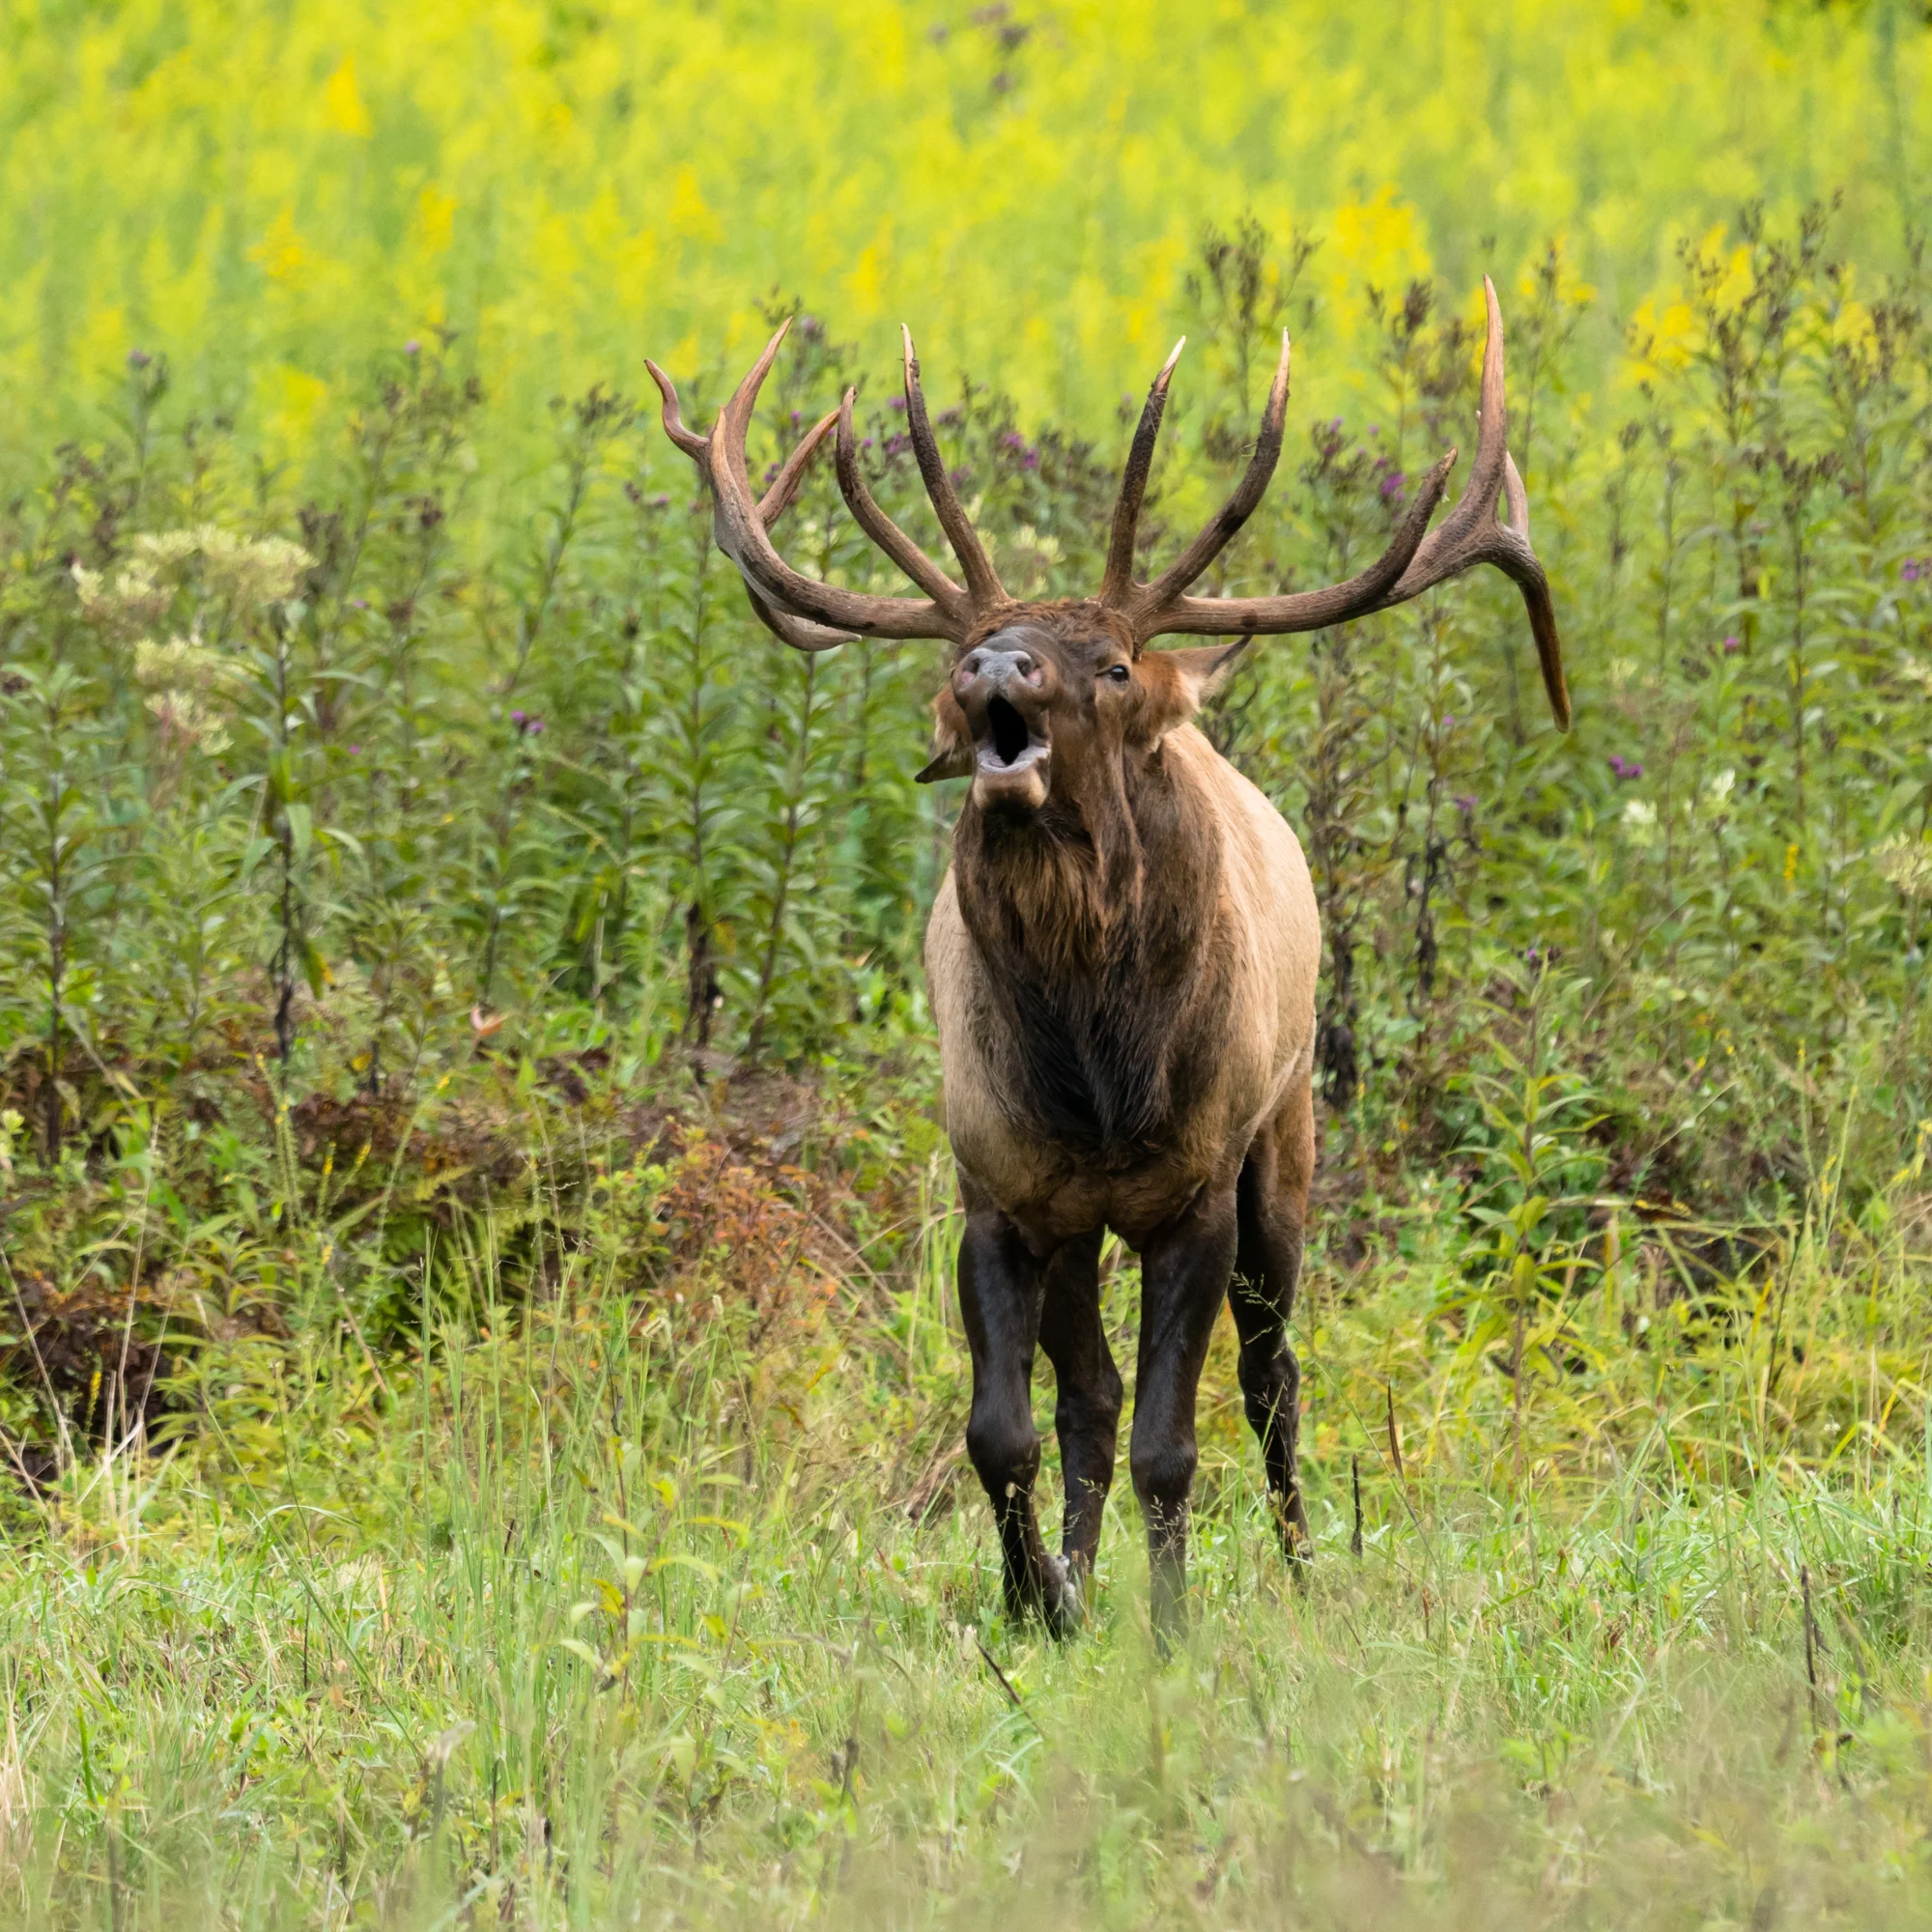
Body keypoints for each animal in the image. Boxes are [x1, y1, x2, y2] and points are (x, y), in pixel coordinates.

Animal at [648, 280, 1568, 1641]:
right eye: (958, 657)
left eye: (1115, 664)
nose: (994, 664)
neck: (1096, 1081)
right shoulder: (1001, 1187)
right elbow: (1005, 1429)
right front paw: (1039, 1596)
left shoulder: (1193, 1187)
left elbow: (1171, 1441)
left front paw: (1168, 1626)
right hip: (1087, 1223)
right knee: (1088, 1396)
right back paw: (1078, 1575)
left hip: (1285, 1137)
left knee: (1272, 1373)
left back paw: (1302, 1564)